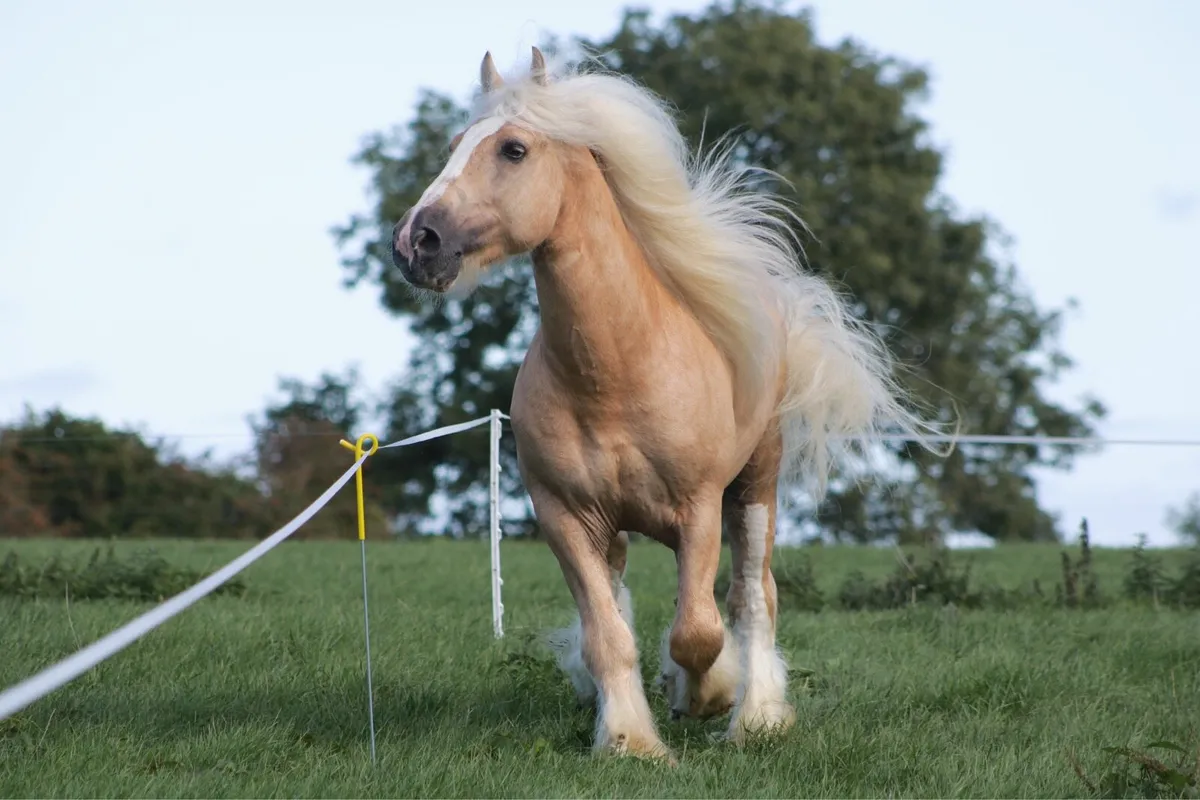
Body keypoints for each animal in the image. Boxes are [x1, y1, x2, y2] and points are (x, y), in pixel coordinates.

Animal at [391, 47, 943, 762]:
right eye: (456, 143)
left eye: (514, 149)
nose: (415, 242)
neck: (617, 372)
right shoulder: (565, 517)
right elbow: (607, 635)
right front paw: (629, 738)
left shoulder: (698, 511)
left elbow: (699, 632)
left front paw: (706, 696)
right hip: (620, 528)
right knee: (629, 600)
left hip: (754, 491)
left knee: (752, 598)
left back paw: (756, 715)